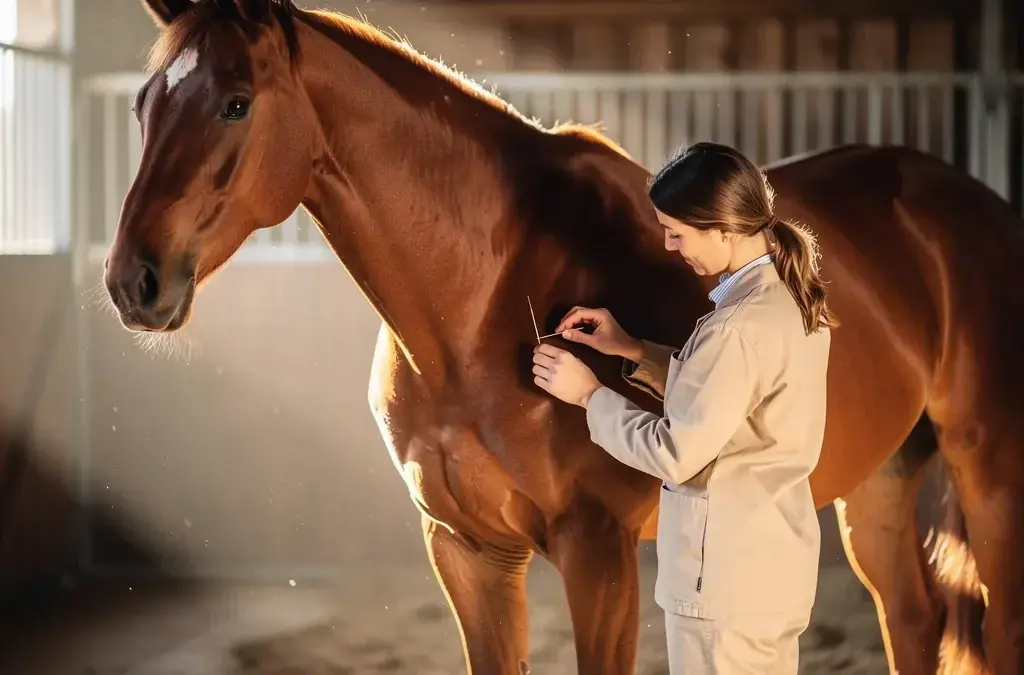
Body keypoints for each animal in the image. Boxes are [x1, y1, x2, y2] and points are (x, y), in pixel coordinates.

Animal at [102, 1, 1024, 673]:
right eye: (144, 105)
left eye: (236, 102)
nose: (132, 281)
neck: (479, 303)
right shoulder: (468, 551)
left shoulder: (599, 551)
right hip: (880, 479)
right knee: (913, 619)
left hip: (987, 468)